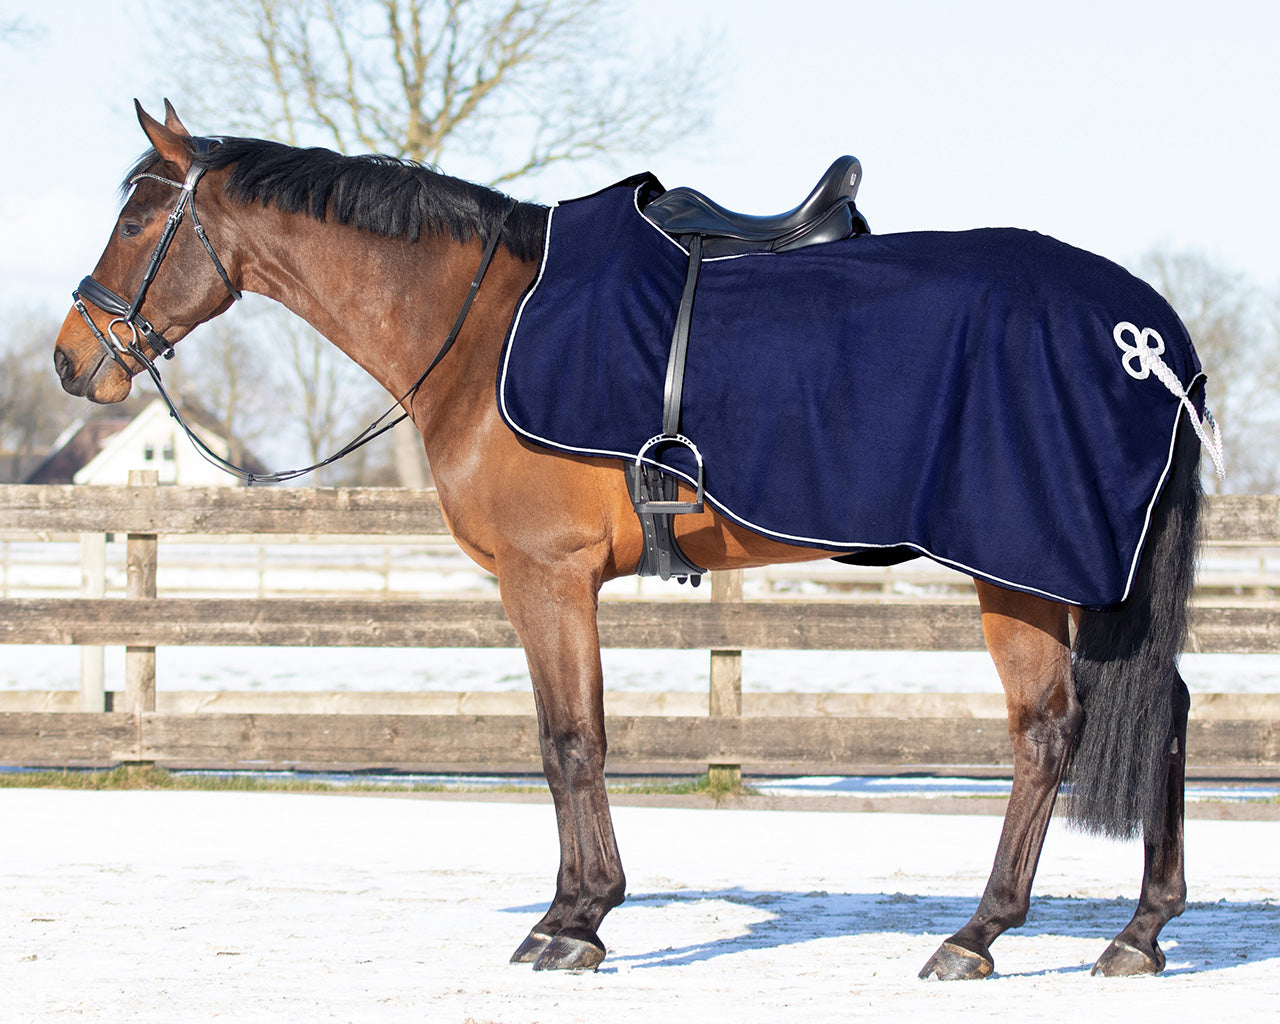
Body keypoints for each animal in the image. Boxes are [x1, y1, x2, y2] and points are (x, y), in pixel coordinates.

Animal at [53, 100, 1206, 981]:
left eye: (136, 220)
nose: (72, 358)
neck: (481, 326)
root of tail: (1148, 338)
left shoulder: (546, 578)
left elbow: (570, 742)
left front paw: (574, 921)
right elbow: (573, 741)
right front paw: (577, 910)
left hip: (1021, 572)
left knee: (1045, 731)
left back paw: (977, 935)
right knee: (1160, 712)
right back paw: (1136, 933)